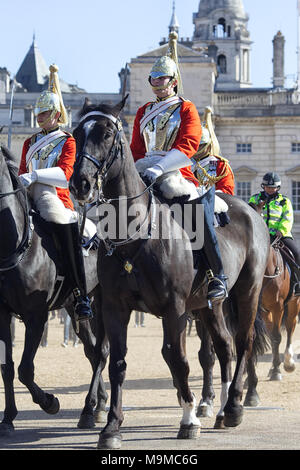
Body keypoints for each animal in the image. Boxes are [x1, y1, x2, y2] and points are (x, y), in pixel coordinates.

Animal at [0, 147, 109, 436]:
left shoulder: (36, 316)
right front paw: (8, 418)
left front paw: (49, 402)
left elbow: (25, 369)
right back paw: (97, 406)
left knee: (101, 352)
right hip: (75, 306)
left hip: (101, 303)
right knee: (93, 351)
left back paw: (88, 410)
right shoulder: (2, 315)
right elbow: (7, 367)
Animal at [69, 97, 270, 450]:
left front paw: (188, 419)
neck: (134, 233)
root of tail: (248, 209)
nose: (80, 184)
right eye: (78, 134)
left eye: (107, 133)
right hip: (210, 304)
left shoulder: (174, 308)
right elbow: (117, 362)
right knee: (224, 347)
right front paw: (111, 427)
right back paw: (220, 409)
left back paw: (233, 407)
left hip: (247, 292)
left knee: (242, 342)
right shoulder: (113, 308)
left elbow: (177, 357)